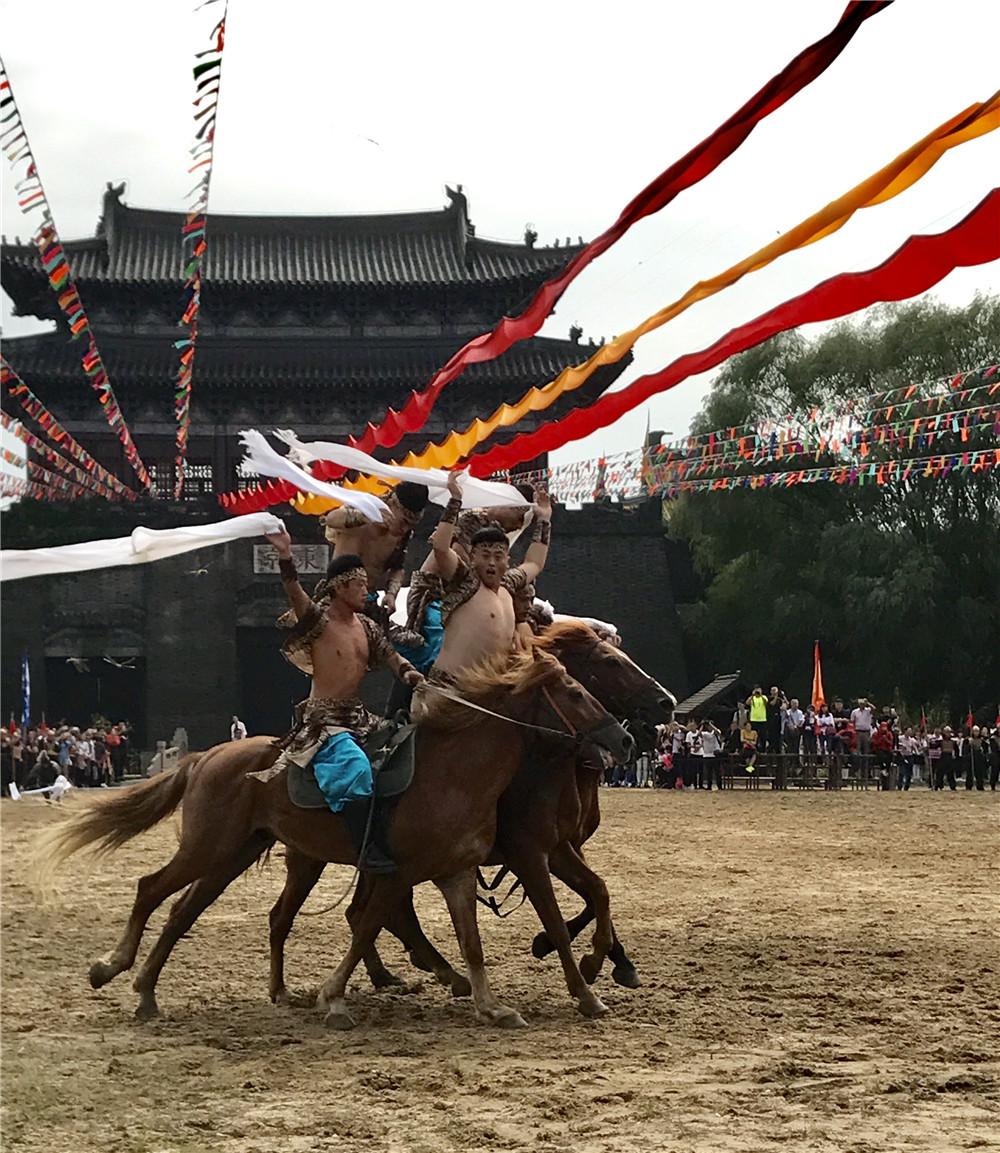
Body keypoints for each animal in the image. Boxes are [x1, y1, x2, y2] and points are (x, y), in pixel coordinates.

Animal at [42, 650, 632, 1028]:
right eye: (576, 692)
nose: (624, 738)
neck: (456, 772)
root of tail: (208, 756)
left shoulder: (457, 872)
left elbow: (472, 940)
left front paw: (492, 1005)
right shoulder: (415, 869)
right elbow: (368, 925)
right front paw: (335, 999)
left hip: (237, 855)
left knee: (188, 912)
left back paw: (151, 993)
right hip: (209, 849)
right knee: (152, 889)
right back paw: (113, 968)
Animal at [266, 622, 678, 1000]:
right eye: (611, 661)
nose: (666, 703)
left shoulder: (562, 846)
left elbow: (597, 893)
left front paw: (609, 960)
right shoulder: (529, 851)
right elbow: (575, 906)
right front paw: (573, 955)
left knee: (366, 912)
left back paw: (395, 973)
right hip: (316, 856)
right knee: (364, 911)